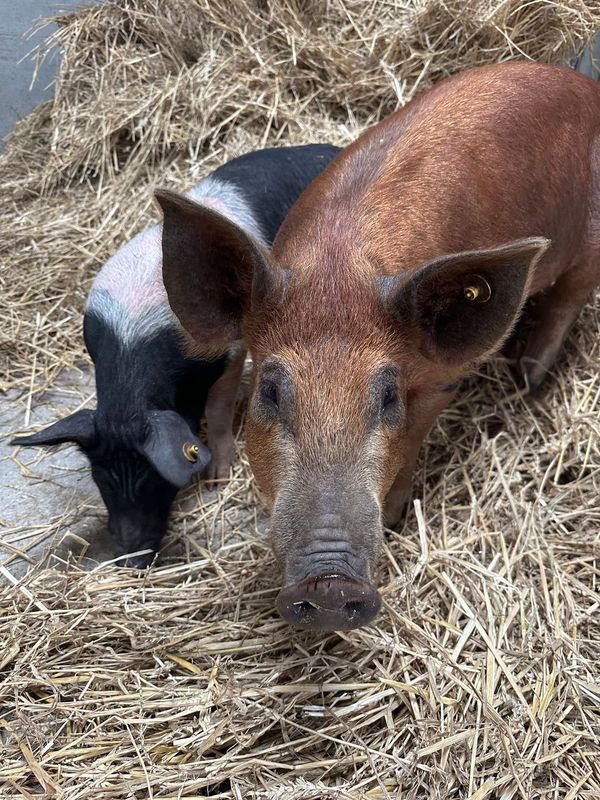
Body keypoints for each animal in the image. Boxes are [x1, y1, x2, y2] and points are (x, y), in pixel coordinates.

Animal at [12, 144, 340, 568]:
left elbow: (218, 411)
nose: (131, 560)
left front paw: (217, 479)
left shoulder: (227, 354)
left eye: (154, 478)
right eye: (101, 478)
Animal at [157, 62, 600, 629]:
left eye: (387, 397)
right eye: (270, 394)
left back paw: (528, 376)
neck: (339, 266)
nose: (330, 584)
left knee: (571, 297)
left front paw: (393, 521)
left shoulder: (439, 381)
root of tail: (585, 83)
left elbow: (410, 444)